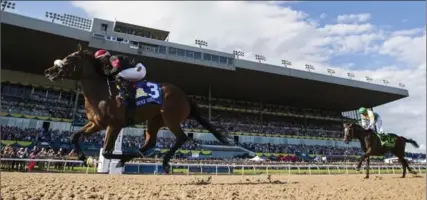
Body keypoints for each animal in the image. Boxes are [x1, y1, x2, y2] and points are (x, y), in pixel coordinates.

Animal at [44, 44, 247, 173]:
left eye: (69, 58)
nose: (48, 71)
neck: (100, 91)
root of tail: (185, 95)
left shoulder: (114, 124)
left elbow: (108, 151)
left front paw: (102, 159)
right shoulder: (96, 123)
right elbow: (74, 136)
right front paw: (86, 158)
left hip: (171, 118)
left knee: (181, 138)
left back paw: (162, 163)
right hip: (155, 120)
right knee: (150, 142)